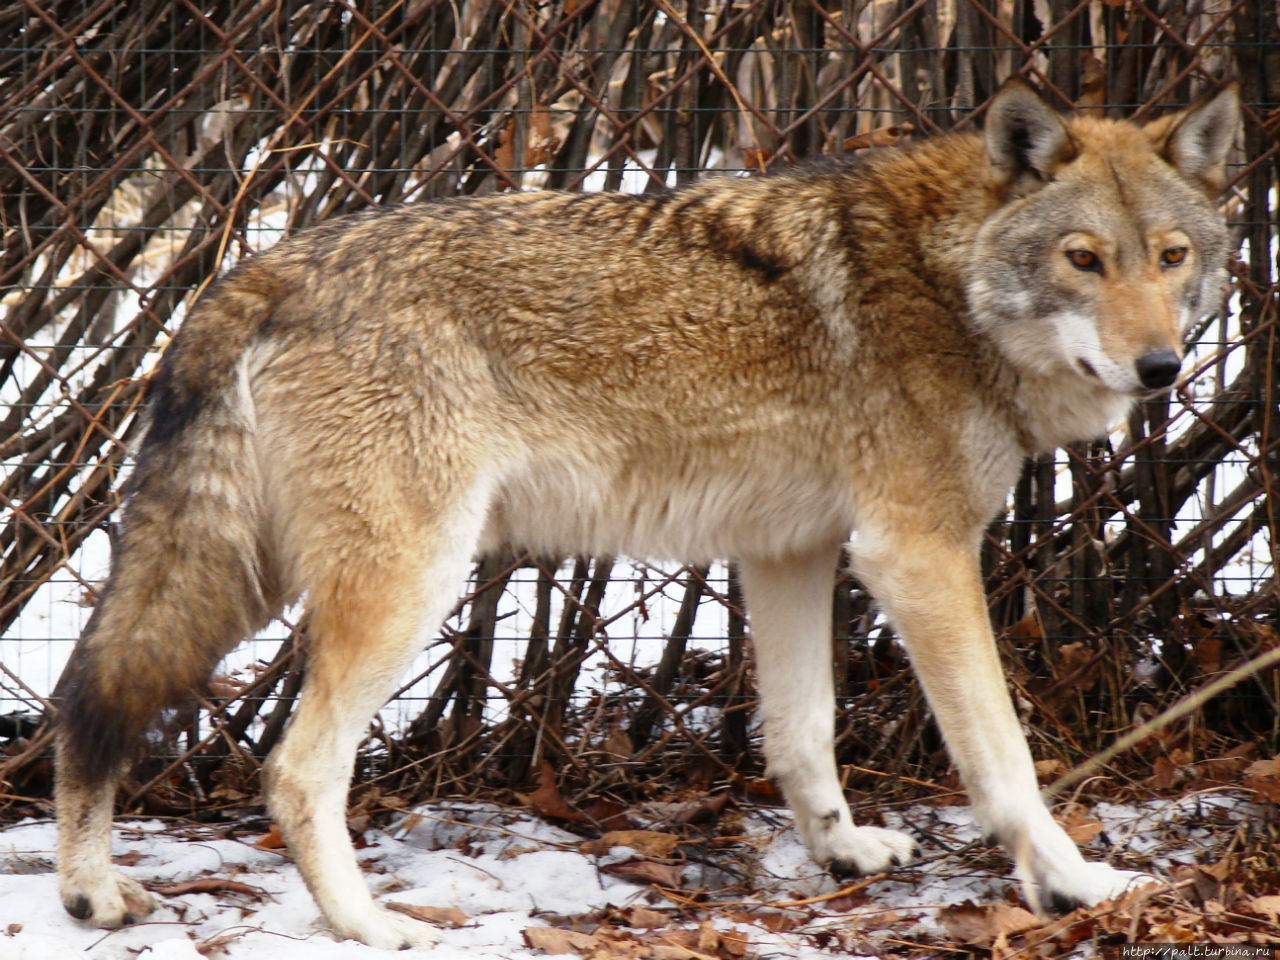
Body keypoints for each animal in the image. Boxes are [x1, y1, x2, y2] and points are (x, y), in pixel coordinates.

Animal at [52, 79, 1239, 952]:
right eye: (1082, 259)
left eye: (1170, 258)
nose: (1161, 369)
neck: (949, 282)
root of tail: (250, 273)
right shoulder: (918, 554)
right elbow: (1002, 757)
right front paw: (1071, 880)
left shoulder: (792, 553)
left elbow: (801, 733)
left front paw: (843, 856)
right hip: (403, 590)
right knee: (294, 770)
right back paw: (369, 927)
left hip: (251, 581)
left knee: (92, 693)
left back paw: (89, 895)